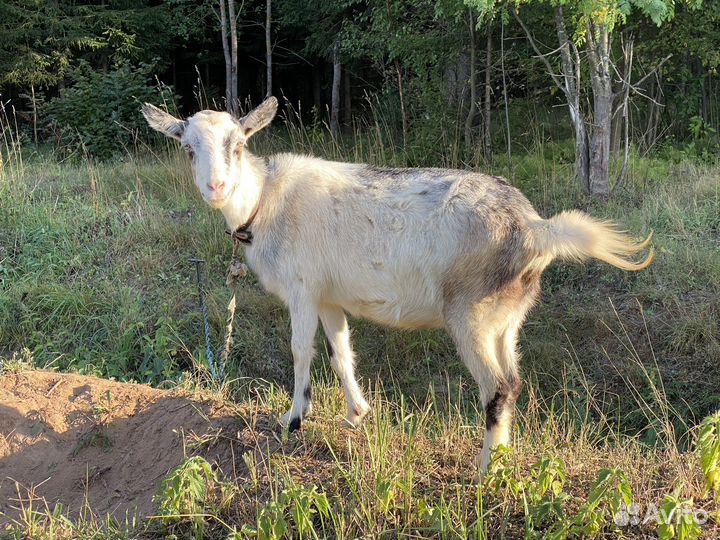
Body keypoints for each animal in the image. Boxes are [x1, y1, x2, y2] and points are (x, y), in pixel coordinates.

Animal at [142, 97, 653, 471]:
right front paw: (357, 415)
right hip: (506, 319)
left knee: (499, 386)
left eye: (239, 144)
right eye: (188, 147)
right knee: (514, 379)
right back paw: (503, 456)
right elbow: (341, 352)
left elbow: (301, 350)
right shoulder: (329, 297)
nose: (215, 188)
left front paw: (294, 419)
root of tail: (534, 227)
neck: (266, 201)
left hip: (470, 313)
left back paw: (484, 469)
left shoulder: (303, 289)